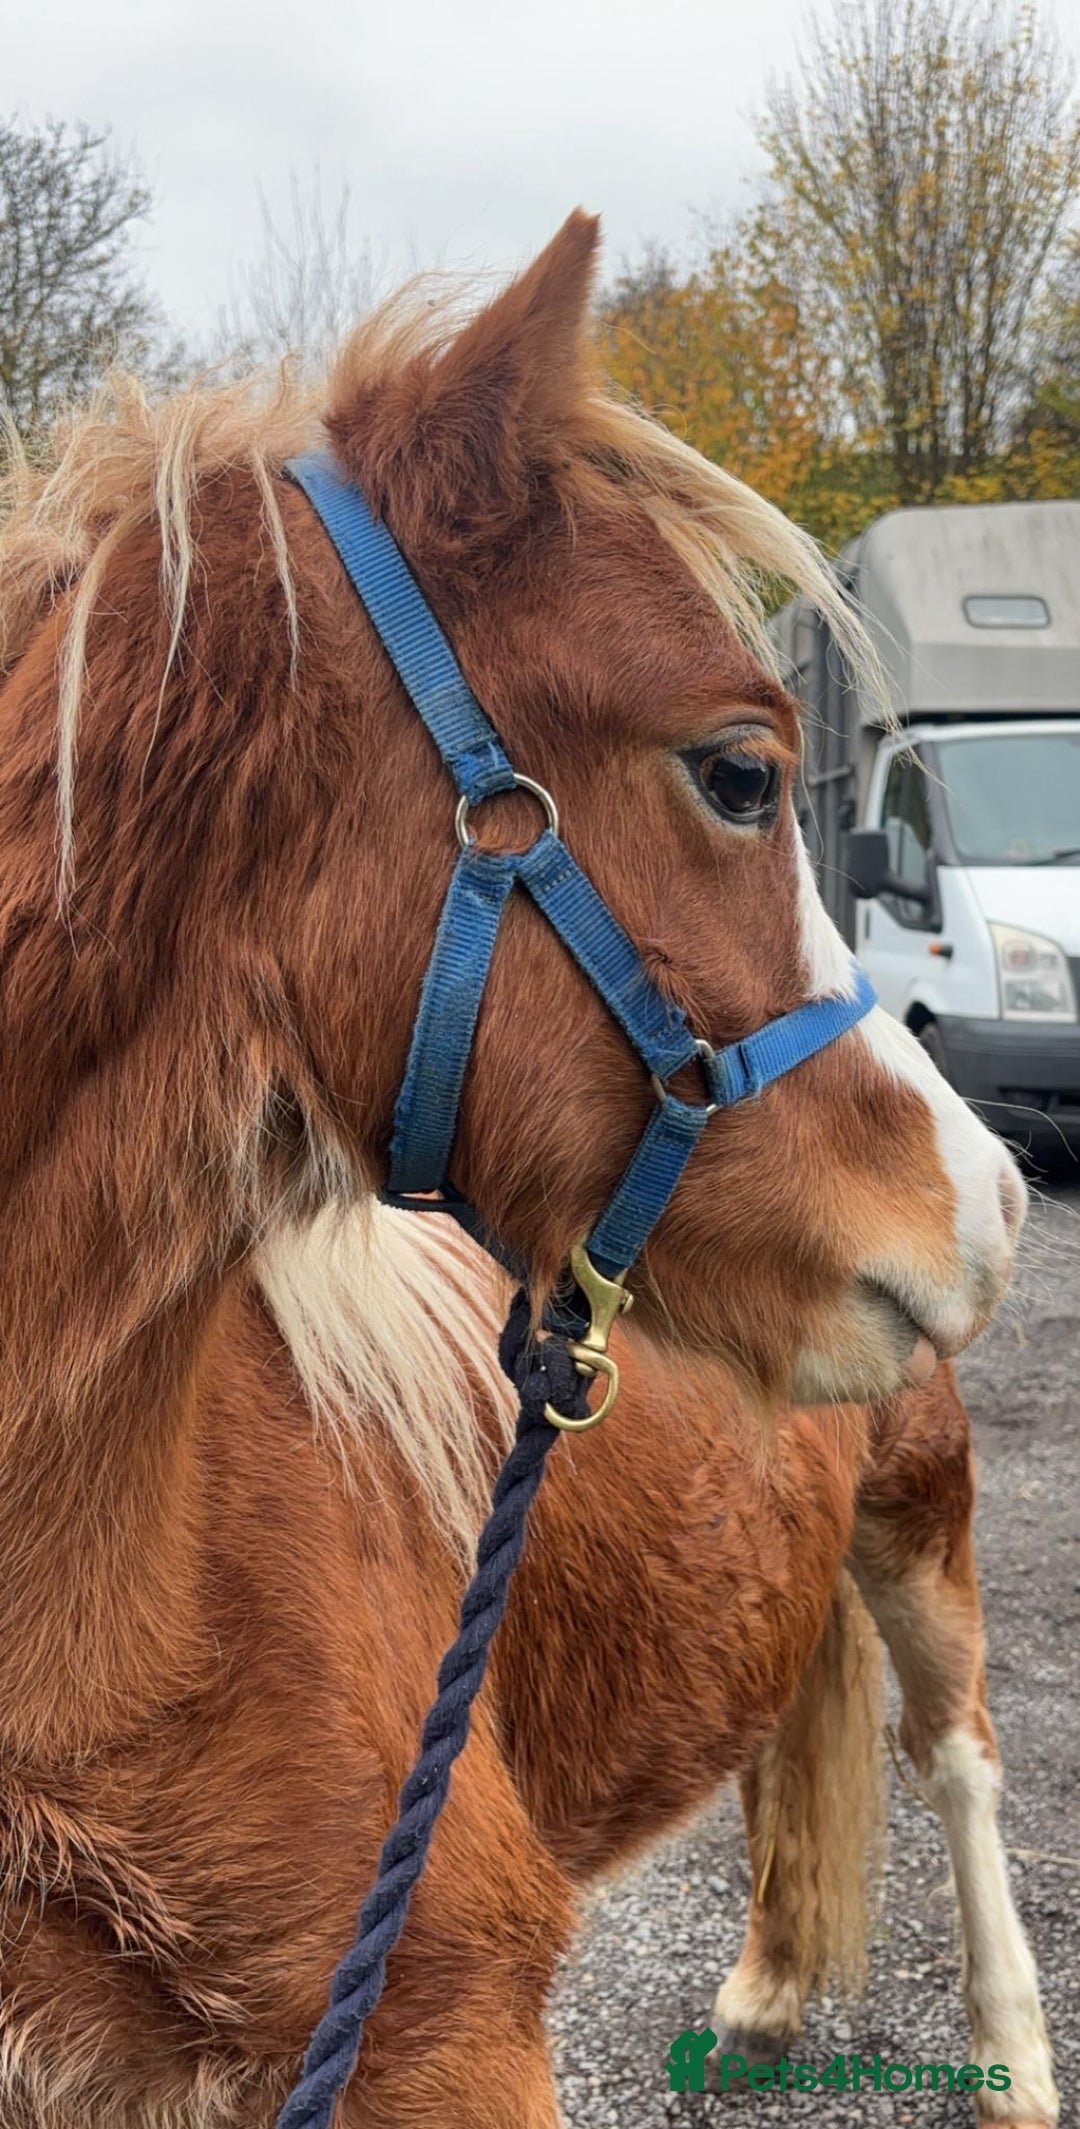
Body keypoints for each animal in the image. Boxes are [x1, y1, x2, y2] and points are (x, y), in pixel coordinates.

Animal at [0, 208, 1046, 2125]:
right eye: (741, 772)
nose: (998, 1201)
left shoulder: (444, 2025)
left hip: (925, 1524)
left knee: (961, 1764)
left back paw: (1014, 2052)